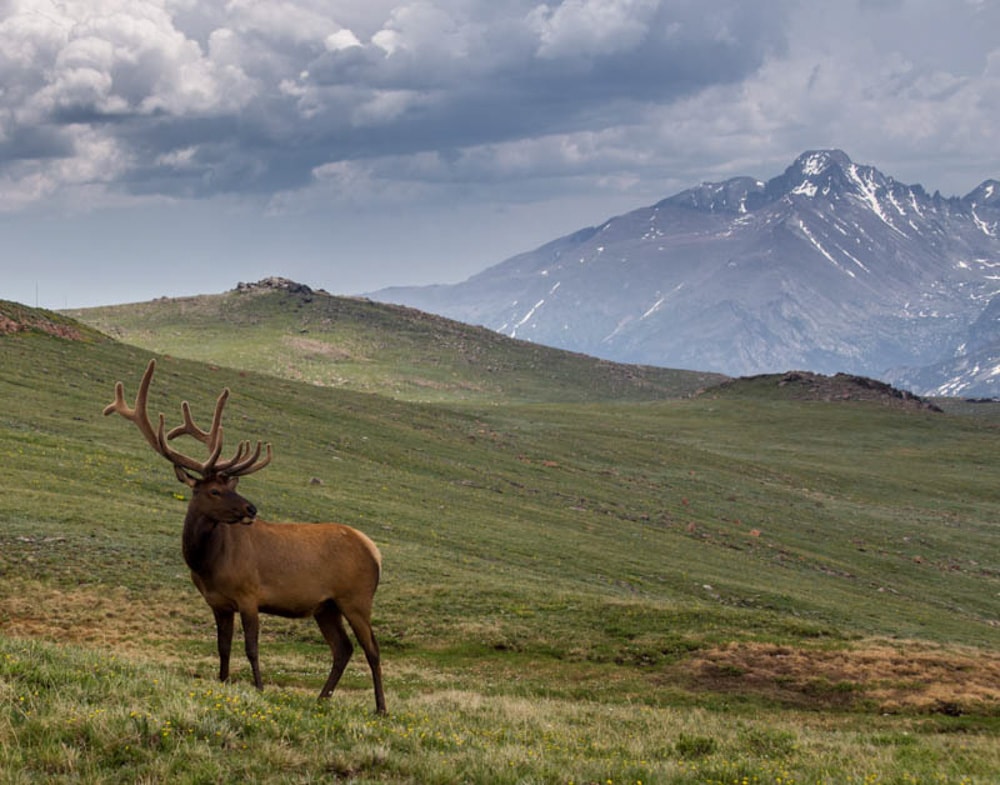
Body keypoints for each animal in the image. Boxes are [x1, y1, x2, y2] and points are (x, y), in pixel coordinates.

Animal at [105, 358, 386, 712]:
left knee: (372, 649)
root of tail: (373, 549)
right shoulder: (218, 603)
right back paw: (321, 699)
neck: (207, 564)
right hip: (326, 606)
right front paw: (223, 682)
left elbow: (251, 647)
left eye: (230, 486)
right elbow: (223, 646)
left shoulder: (250, 595)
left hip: (357, 598)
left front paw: (260, 688)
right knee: (343, 648)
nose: (251, 508)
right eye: (214, 490)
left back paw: (380, 708)